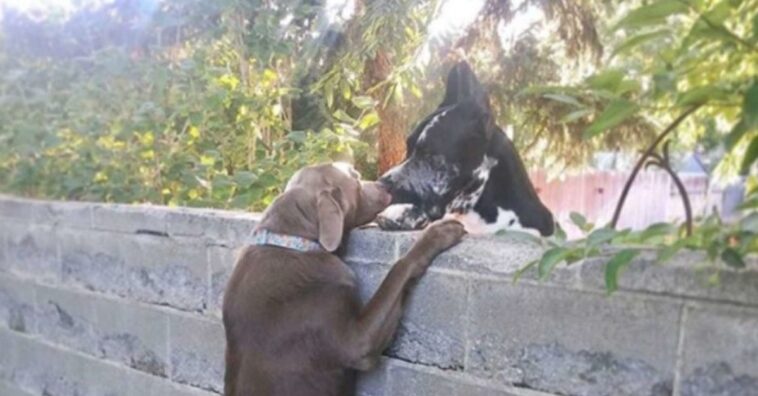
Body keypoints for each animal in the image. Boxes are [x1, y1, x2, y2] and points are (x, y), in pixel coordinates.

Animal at [223, 162, 466, 394]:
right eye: (356, 177)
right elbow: (398, 268)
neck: (295, 242)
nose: (385, 184)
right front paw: (438, 233)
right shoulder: (357, 342)